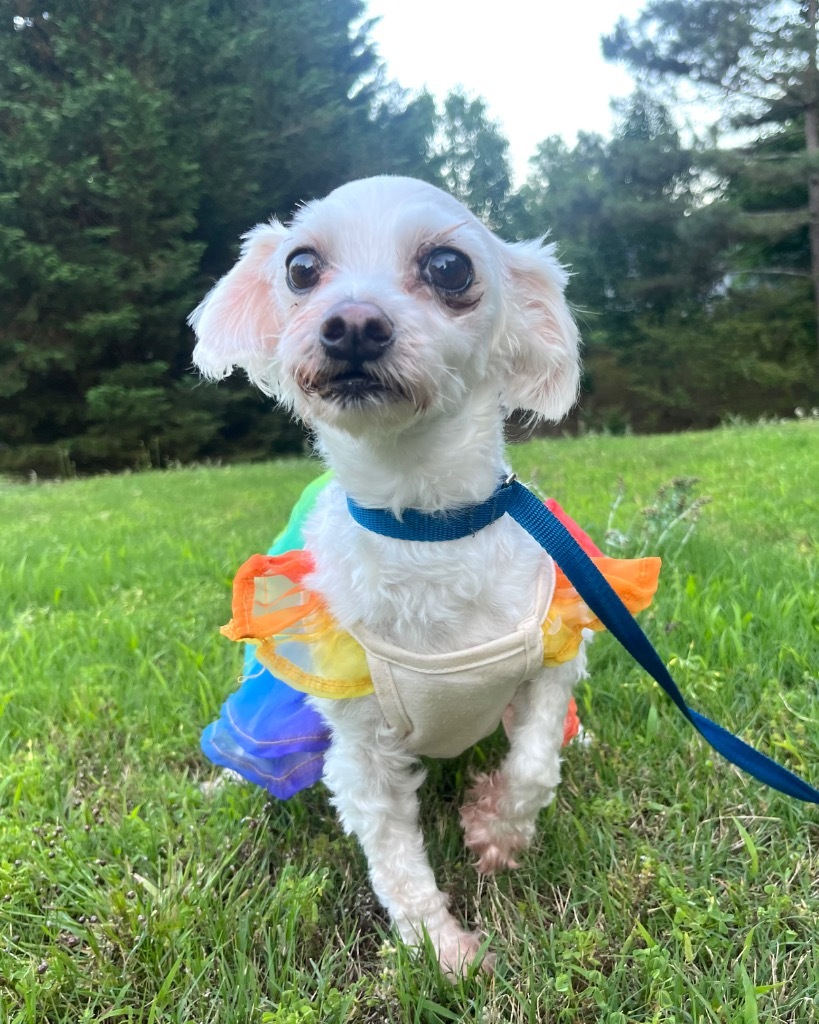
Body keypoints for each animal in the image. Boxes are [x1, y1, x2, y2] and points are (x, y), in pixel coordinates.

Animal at [190, 176, 589, 974]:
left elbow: (534, 765)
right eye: (301, 267)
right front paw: (441, 952)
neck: (426, 525)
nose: (351, 324)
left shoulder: (552, 655)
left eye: (449, 267)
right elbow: (395, 862)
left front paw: (495, 828)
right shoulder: (360, 749)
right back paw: (225, 780)